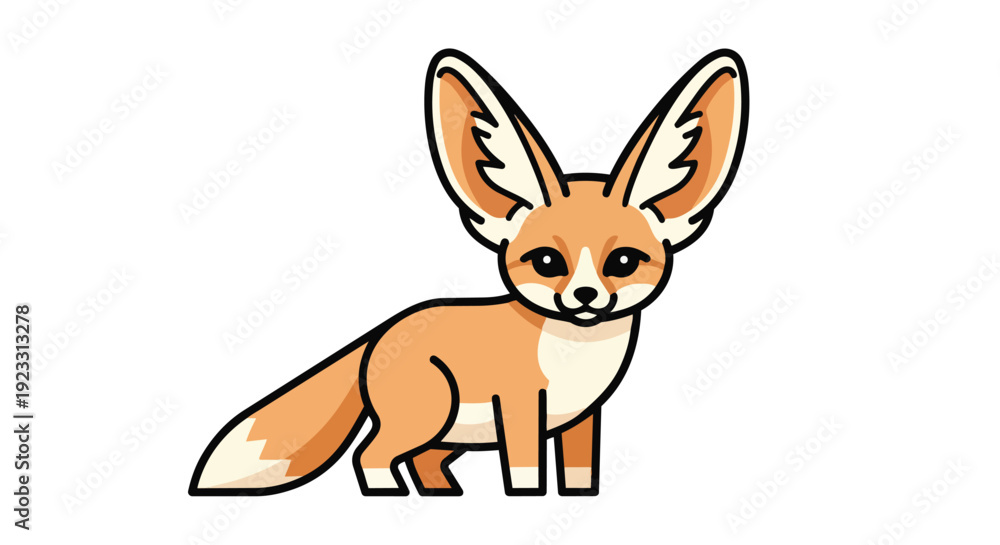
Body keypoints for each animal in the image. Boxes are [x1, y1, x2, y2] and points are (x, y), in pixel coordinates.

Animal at [190, 48, 749, 497]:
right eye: (548, 262)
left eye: (624, 262)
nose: (587, 297)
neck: (573, 357)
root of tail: (380, 334)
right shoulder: (519, 409)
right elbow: (524, 471)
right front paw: (527, 502)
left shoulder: (582, 419)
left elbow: (578, 473)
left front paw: (577, 500)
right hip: (429, 413)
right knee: (371, 455)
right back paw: (393, 496)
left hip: (449, 431)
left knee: (422, 460)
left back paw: (442, 495)